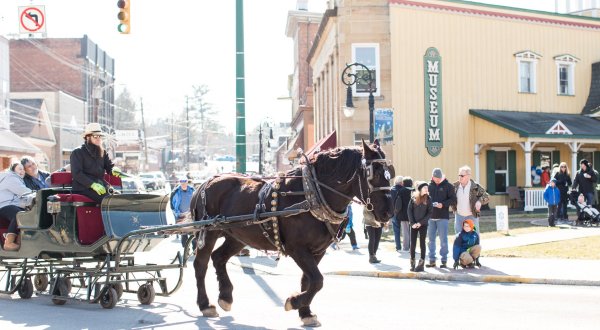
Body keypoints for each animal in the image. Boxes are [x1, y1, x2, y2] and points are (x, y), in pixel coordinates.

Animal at [190, 141, 392, 328]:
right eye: (374, 174)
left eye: (389, 172)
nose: (388, 212)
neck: (312, 194)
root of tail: (205, 183)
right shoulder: (297, 249)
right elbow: (317, 280)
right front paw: (293, 301)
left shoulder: (318, 251)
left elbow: (308, 281)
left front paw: (306, 313)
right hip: (209, 232)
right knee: (201, 264)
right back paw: (205, 304)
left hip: (237, 236)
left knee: (218, 257)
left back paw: (225, 296)